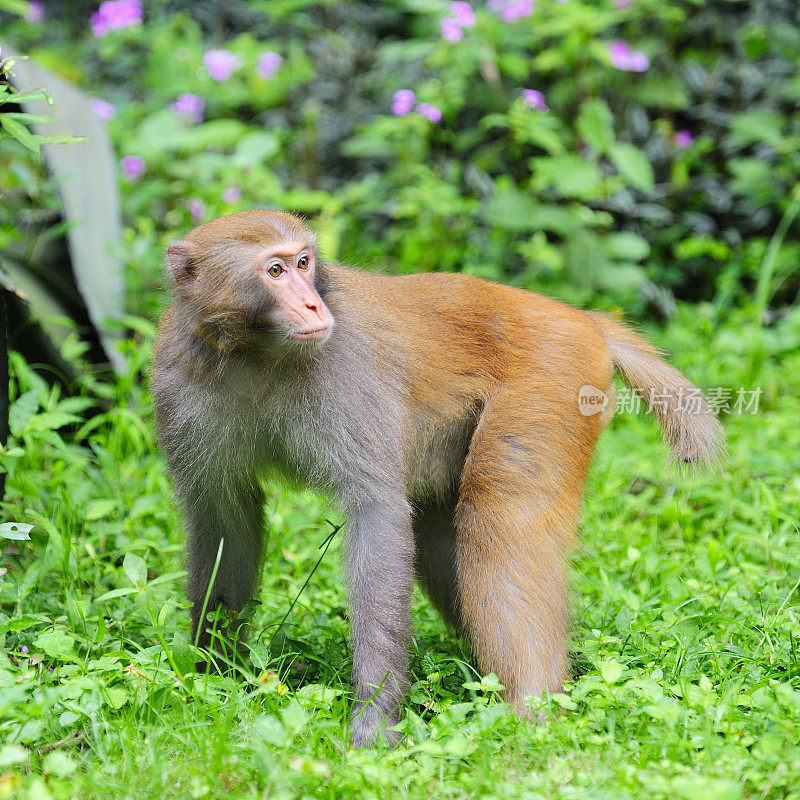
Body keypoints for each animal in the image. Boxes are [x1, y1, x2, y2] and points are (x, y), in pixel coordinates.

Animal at [152, 209, 724, 748]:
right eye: (274, 270)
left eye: (303, 263)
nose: (314, 306)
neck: (255, 353)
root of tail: (579, 317)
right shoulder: (178, 383)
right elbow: (225, 518)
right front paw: (211, 674)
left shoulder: (347, 371)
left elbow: (378, 514)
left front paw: (374, 721)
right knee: (437, 535)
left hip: (552, 379)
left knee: (502, 519)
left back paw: (532, 713)